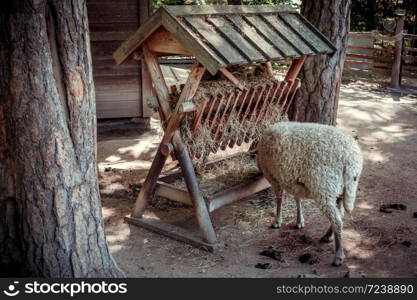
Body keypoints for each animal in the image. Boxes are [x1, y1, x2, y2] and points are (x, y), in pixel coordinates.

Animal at [255, 120, 362, 266]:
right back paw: (328, 235)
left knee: (337, 220)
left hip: (324, 186)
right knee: (339, 215)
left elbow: (279, 198)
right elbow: (297, 199)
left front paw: (277, 220)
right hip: (340, 190)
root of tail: (351, 160)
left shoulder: (274, 178)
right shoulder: (294, 180)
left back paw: (338, 255)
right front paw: (299, 220)